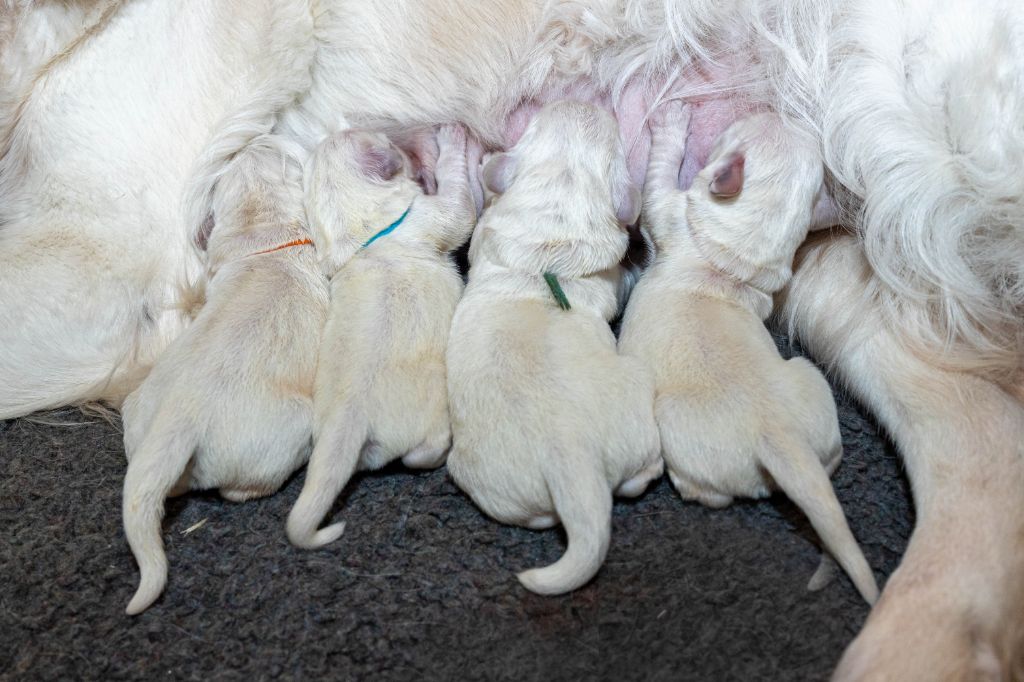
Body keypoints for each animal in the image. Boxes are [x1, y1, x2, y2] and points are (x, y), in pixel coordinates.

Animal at [120, 135, 329, 614]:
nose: (255, 138)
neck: (264, 234)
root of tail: (177, 422)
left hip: (138, 416)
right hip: (283, 431)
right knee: (244, 486)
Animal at [614, 100, 880, 602]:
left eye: (741, 126)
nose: (777, 106)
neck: (734, 257)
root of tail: (780, 437)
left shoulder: (668, 211)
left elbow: (660, 174)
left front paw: (671, 125)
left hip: (680, 431)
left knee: (709, 490)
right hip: (806, 378)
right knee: (829, 453)